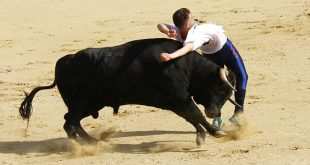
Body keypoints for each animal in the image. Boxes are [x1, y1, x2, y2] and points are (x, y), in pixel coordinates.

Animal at [19, 37, 236, 146]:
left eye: (227, 95)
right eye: (220, 89)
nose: (215, 113)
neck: (185, 65)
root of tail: (65, 61)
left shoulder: (177, 101)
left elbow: (192, 116)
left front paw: (204, 134)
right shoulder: (179, 98)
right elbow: (195, 114)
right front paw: (214, 132)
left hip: (90, 105)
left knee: (70, 121)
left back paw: (90, 142)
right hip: (82, 103)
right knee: (70, 122)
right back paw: (84, 145)